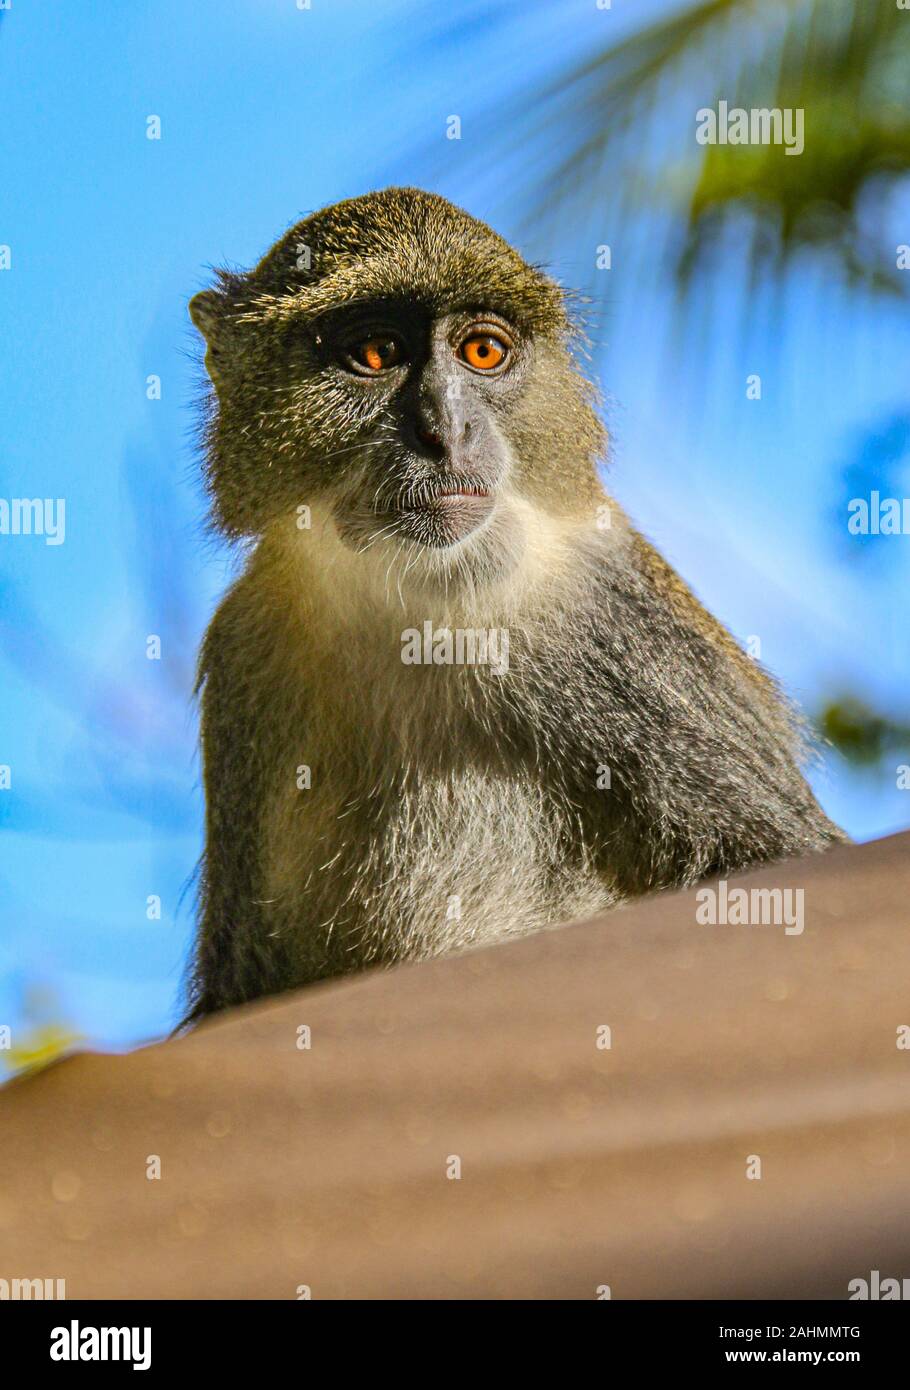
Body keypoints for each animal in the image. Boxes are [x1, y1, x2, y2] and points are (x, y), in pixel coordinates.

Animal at [183, 186, 845, 1023]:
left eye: (483, 354)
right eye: (377, 354)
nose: (447, 431)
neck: (413, 612)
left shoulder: (608, 621)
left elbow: (782, 864)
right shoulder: (247, 643)